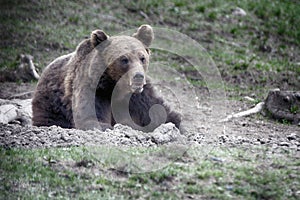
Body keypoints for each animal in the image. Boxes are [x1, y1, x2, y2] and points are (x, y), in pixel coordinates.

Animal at [33, 24, 183, 131]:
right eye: (124, 59)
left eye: (142, 58)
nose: (138, 76)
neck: (115, 87)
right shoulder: (95, 90)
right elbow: (91, 118)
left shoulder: (139, 97)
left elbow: (160, 113)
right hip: (50, 105)